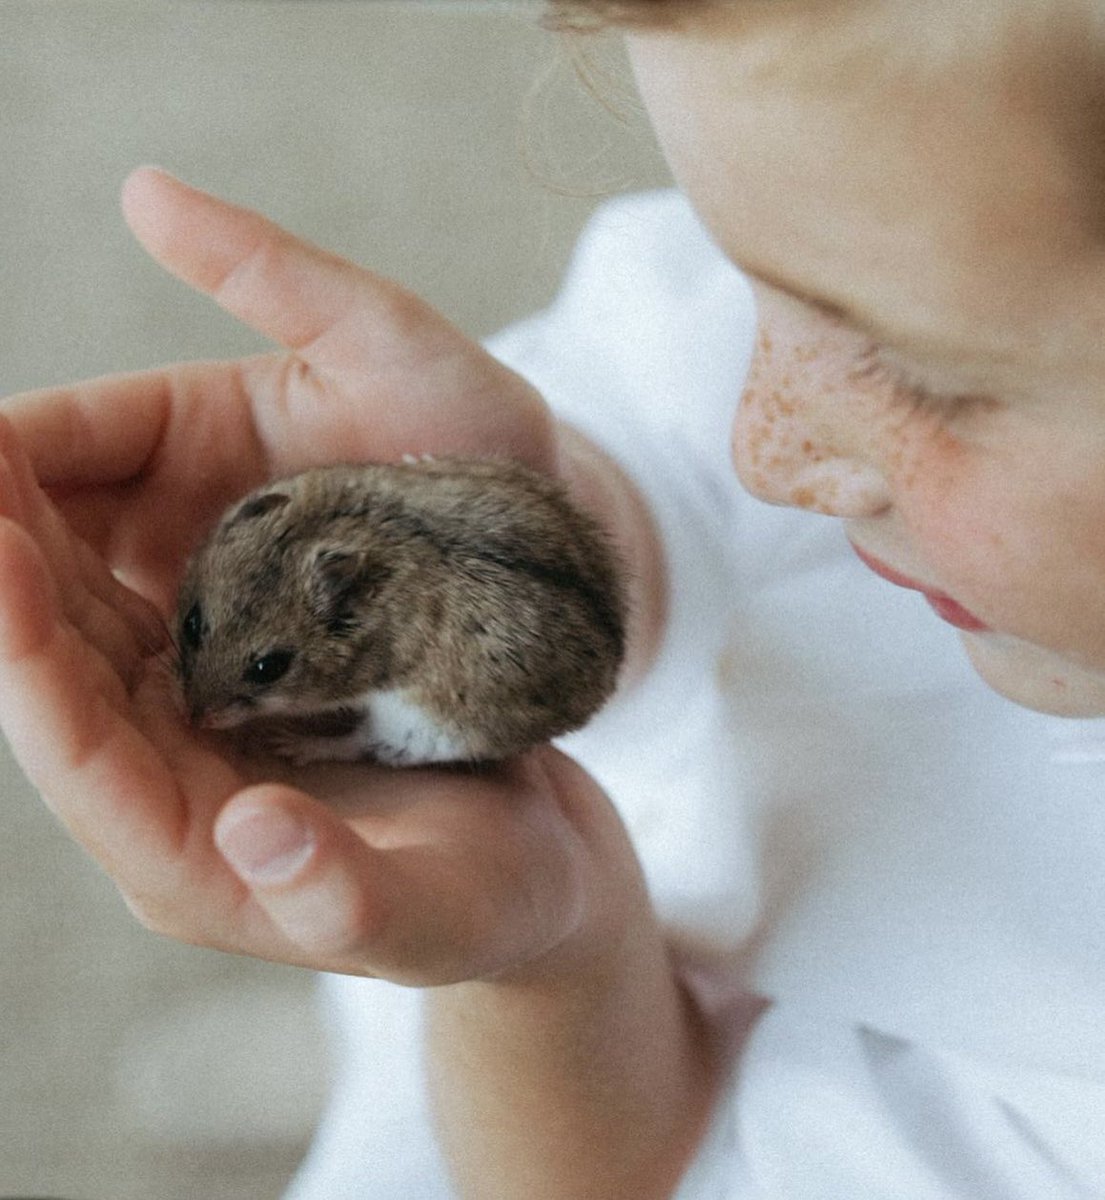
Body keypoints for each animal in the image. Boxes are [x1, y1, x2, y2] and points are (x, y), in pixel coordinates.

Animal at [175, 456, 627, 766]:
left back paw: (297, 745)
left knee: (364, 744)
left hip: (423, 729)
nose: (193, 720)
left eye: (269, 668)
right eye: (191, 623)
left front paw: (283, 742)